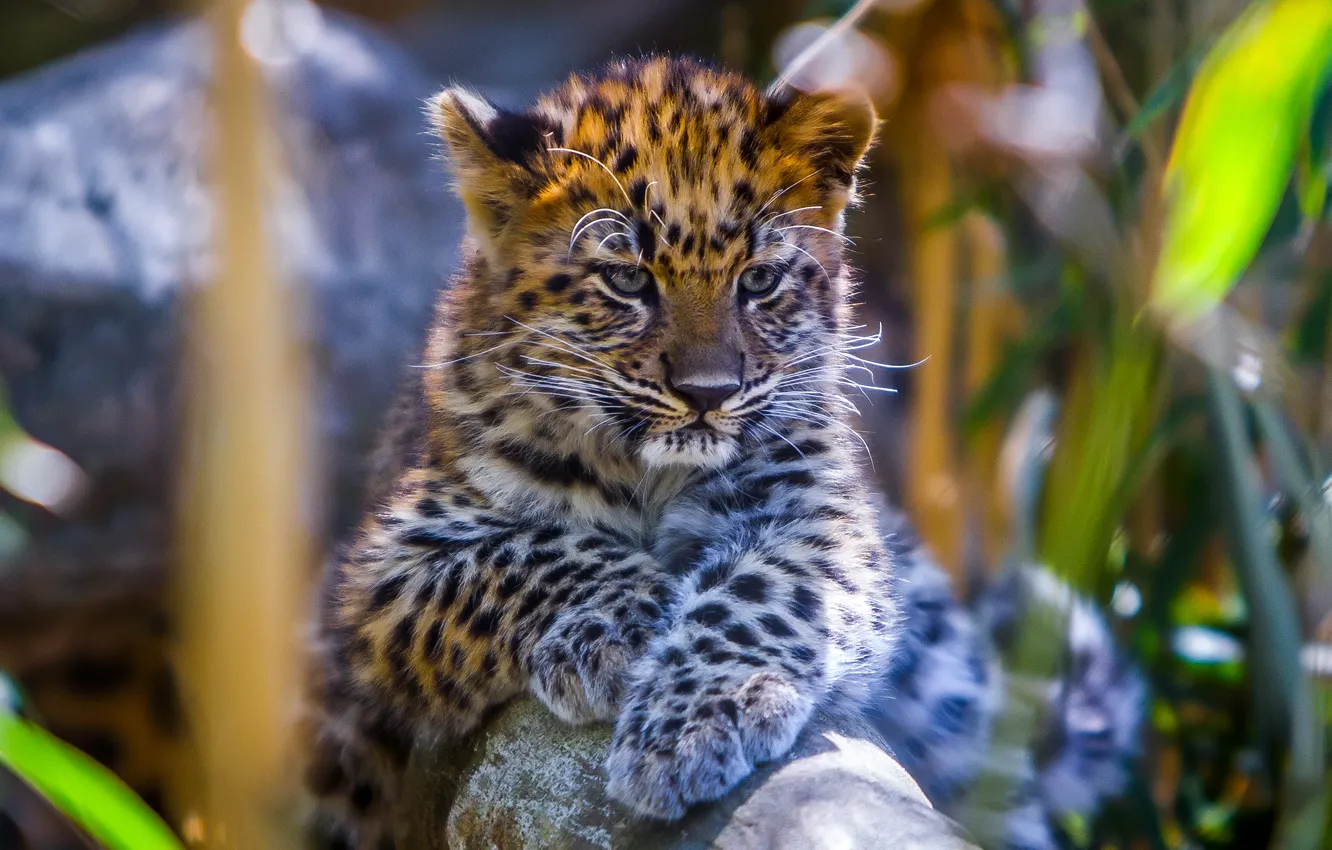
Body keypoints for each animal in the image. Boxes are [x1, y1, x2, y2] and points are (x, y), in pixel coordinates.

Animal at [300, 55, 901, 848]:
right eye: (626, 279)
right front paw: (626, 622)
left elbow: (763, 594)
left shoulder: (813, 511)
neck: (652, 470)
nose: (709, 393)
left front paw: (697, 721)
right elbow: (524, 550)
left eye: (759, 280)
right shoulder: (383, 568)